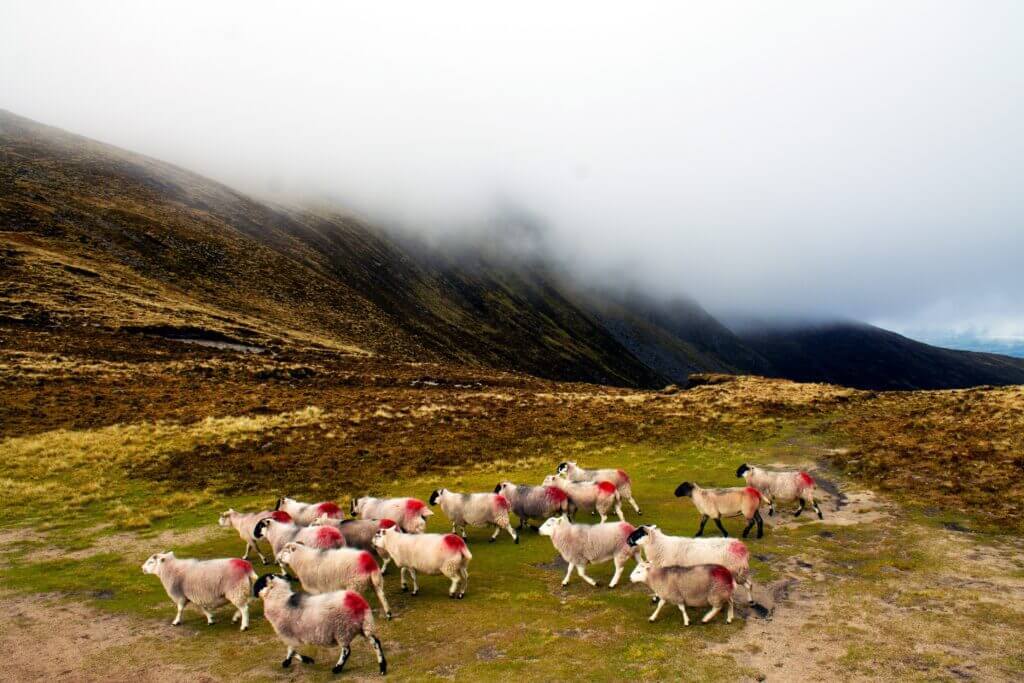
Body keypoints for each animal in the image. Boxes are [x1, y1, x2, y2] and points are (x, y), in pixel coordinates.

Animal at [253, 573, 385, 675]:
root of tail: (355, 600)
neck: (279, 599)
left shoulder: (288, 633)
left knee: (346, 650)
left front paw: (289, 662)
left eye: (259, 583)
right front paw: (307, 660)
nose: (253, 594)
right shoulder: (293, 635)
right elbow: (293, 650)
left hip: (343, 629)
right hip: (365, 625)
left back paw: (337, 668)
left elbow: (291, 650)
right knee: (376, 642)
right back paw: (382, 667)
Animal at [622, 528, 753, 602]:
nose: (627, 540)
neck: (661, 547)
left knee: (745, 584)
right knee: (749, 584)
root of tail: (741, 546)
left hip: (734, 570)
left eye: (638, 534)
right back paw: (751, 601)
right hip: (738, 571)